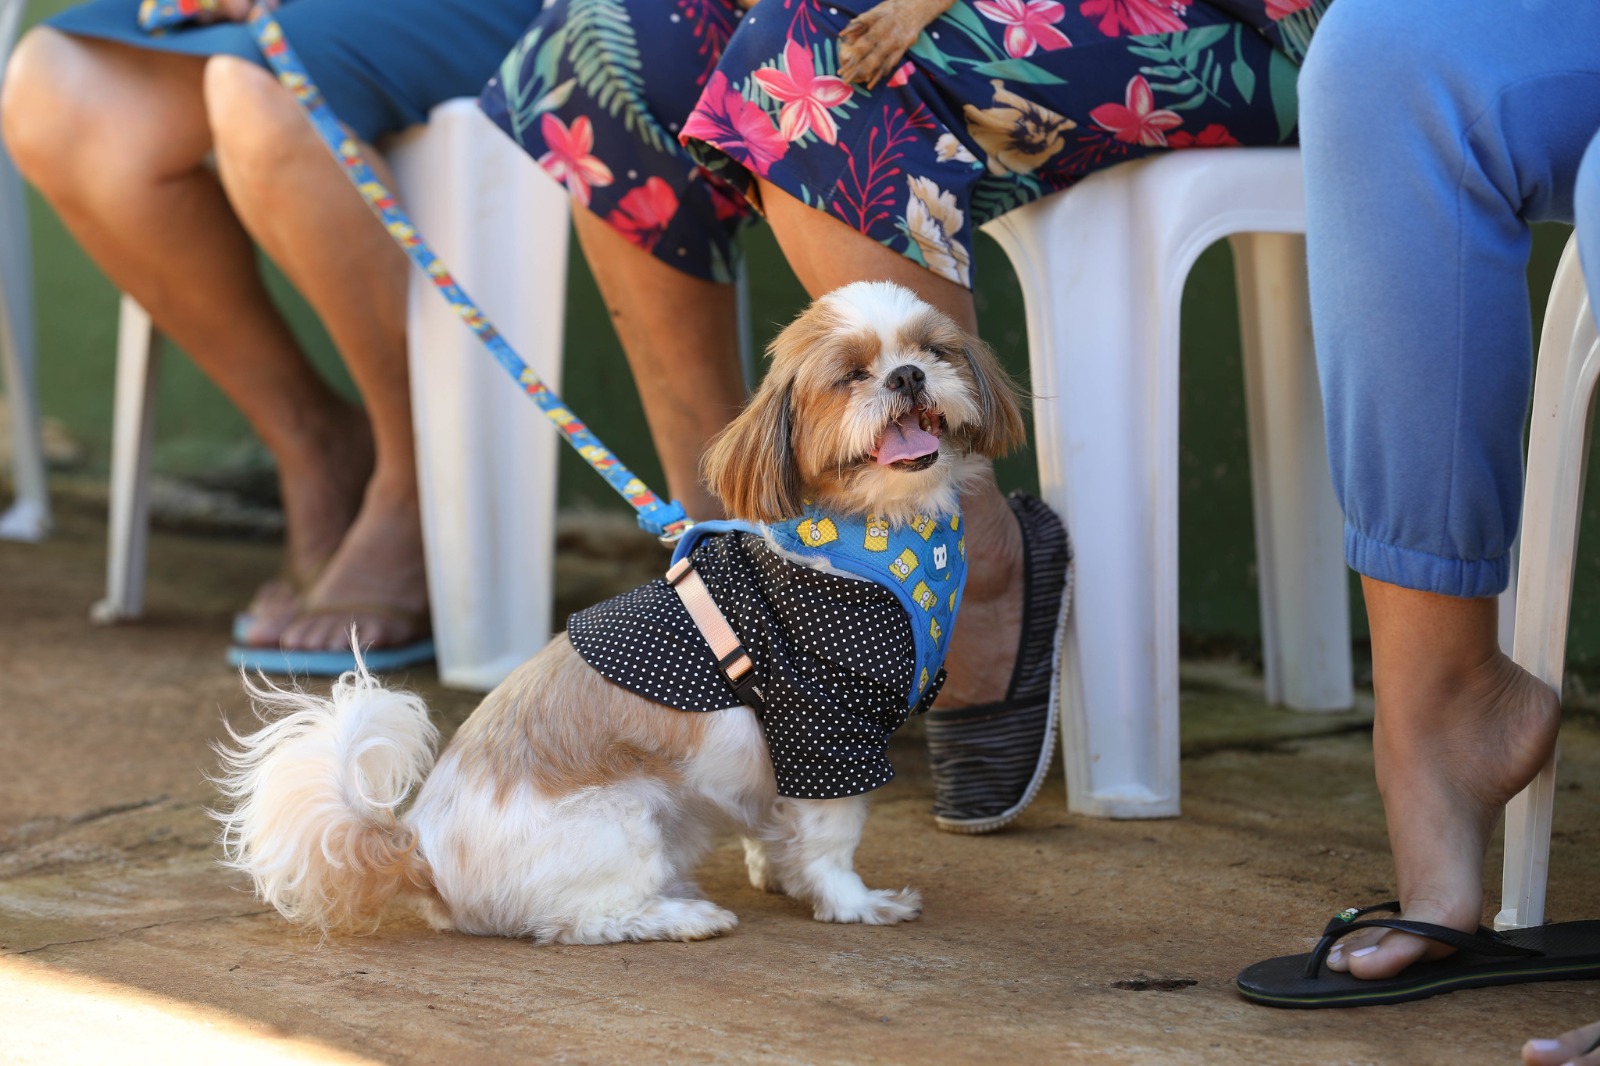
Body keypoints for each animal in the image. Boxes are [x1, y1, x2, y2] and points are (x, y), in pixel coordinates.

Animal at [209, 278, 1024, 941]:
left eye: (934, 350)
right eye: (852, 375)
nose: (907, 373)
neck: (874, 537)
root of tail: (423, 854)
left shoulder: (791, 758)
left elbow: (781, 828)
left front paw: (783, 874)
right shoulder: (827, 727)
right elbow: (830, 837)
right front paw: (851, 903)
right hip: (625, 819)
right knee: (581, 921)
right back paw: (677, 915)